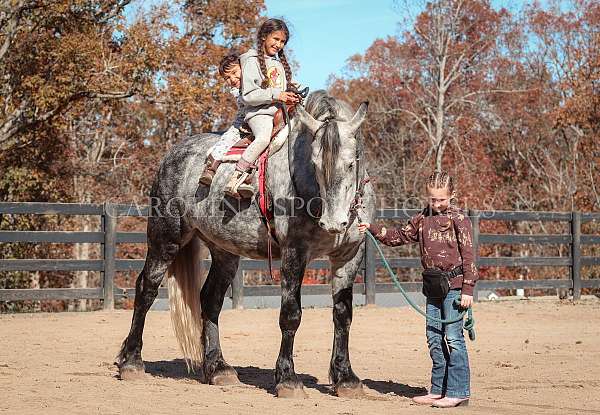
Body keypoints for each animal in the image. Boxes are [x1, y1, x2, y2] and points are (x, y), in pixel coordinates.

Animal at [115, 92, 372, 400]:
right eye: (316, 164)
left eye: (352, 162)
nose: (333, 222)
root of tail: (175, 153)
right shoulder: (294, 254)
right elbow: (291, 315)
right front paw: (288, 379)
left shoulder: (349, 256)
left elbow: (343, 314)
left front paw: (346, 378)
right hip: (165, 239)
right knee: (146, 289)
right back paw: (131, 362)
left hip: (224, 252)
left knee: (210, 300)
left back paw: (219, 369)